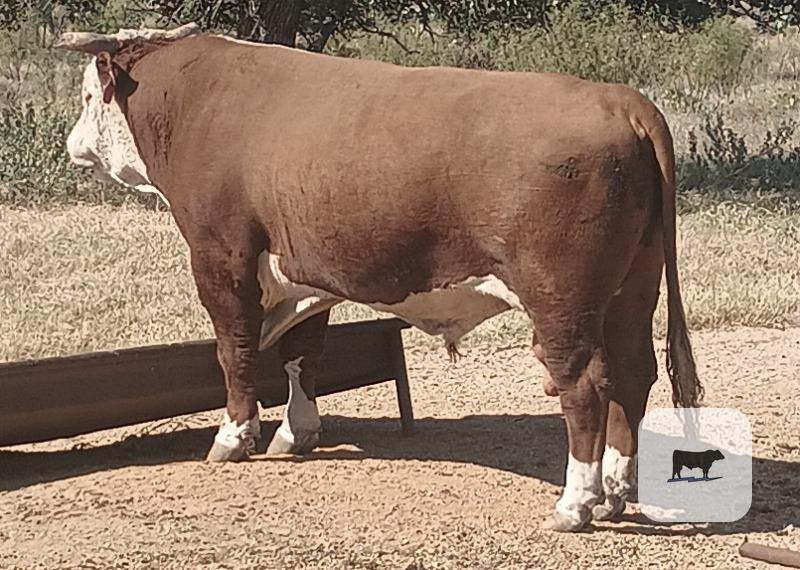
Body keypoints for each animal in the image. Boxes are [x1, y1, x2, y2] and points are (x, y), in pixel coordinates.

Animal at [54, 23, 704, 532]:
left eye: (86, 94)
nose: (71, 146)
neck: (198, 100)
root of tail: (621, 99)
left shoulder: (221, 257)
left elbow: (235, 351)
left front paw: (233, 438)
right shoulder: (306, 271)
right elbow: (301, 356)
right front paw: (296, 434)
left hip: (560, 297)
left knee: (586, 385)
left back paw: (577, 504)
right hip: (631, 288)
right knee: (633, 375)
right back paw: (616, 492)